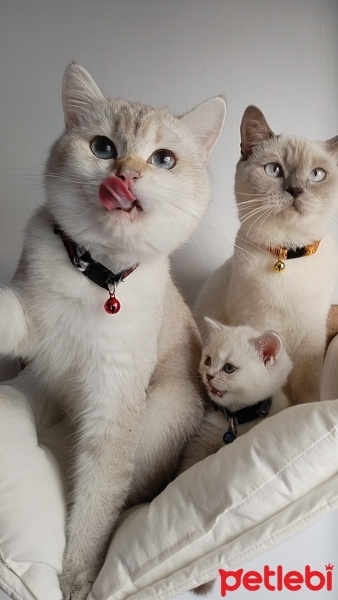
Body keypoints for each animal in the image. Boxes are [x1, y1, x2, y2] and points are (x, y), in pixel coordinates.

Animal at [0, 63, 227, 596]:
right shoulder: (31, 320)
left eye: (164, 159)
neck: (98, 276)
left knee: (132, 493)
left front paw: (77, 577)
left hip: (164, 406)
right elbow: (6, 315)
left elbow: (99, 501)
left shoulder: (115, 401)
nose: (125, 175)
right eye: (103, 147)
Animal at [178, 318, 292, 474]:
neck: (235, 418)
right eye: (208, 361)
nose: (209, 375)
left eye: (229, 368)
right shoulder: (200, 441)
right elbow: (188, 467)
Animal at [194, 105, 338, 406]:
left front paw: (300, 408)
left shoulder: (311, 341)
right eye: (274, 170)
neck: (288, 252)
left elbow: (306, 393)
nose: (295, 190)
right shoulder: (259, 324)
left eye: (317, 175)